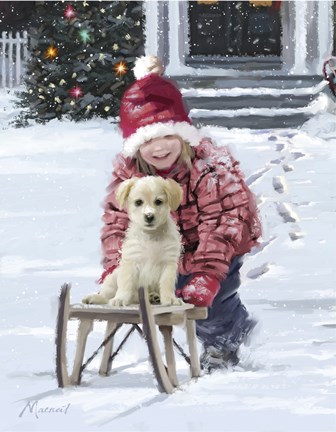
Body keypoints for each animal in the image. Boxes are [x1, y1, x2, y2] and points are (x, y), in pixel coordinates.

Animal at [83, 176, 184, 308]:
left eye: (158, 201)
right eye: (138, 202)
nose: (149, 216)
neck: (151, 236)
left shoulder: (169, 264)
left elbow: (167, 283)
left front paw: (170, 299)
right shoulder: (130, 262)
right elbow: (126, 284)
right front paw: (120, 299)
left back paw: (153, 297)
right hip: (112, 278)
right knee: (106, 294)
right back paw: (94, 297)